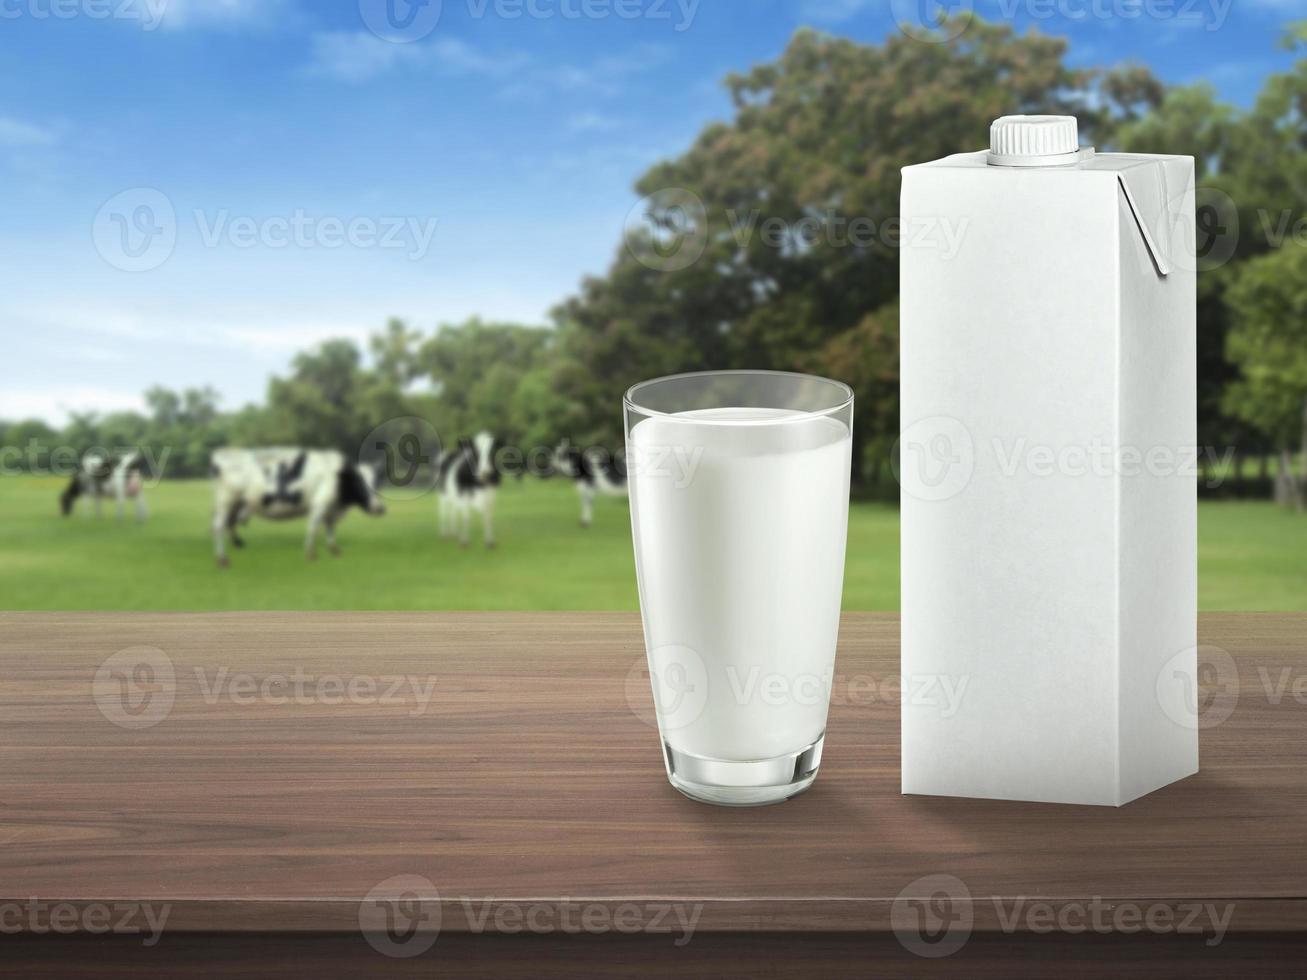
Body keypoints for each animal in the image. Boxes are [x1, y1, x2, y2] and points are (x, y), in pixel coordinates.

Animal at [211, 446, 384, 567]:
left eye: (376, 482)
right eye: (359, 481)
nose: (380, 508)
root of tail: (225, 454)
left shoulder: (329, 508)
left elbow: (330, 527)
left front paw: (334, 550)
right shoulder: (320, 503)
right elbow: (313, 528)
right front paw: (311, 554)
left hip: (236, 503)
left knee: (229, 523)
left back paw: (237, 545)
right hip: (226, 500)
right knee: (218, 526)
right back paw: (222, 560)